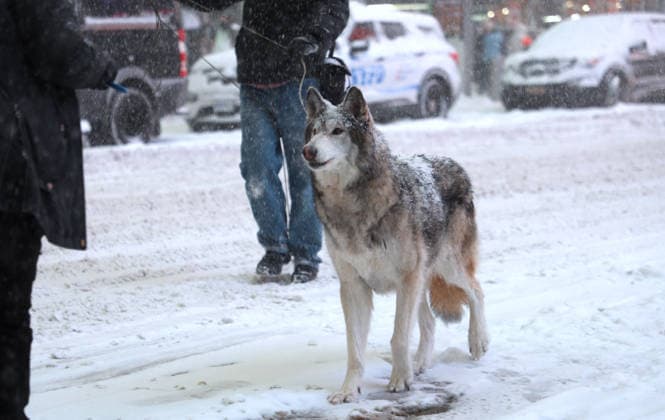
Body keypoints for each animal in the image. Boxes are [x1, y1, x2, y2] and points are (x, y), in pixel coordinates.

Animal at [302, 87, 489, 404]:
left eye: (337, 131)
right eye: (314, 132)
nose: (308, 151)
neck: (352, 206)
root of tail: (453, 163)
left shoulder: (406, 279)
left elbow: (399, 336)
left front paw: (400, 380)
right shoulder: (353, 286)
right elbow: (355, 348)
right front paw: (348, 390)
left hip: (446, 268)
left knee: (477, 291)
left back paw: (478, 342)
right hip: (422, 279)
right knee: (429, 322)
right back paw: (420, 363)